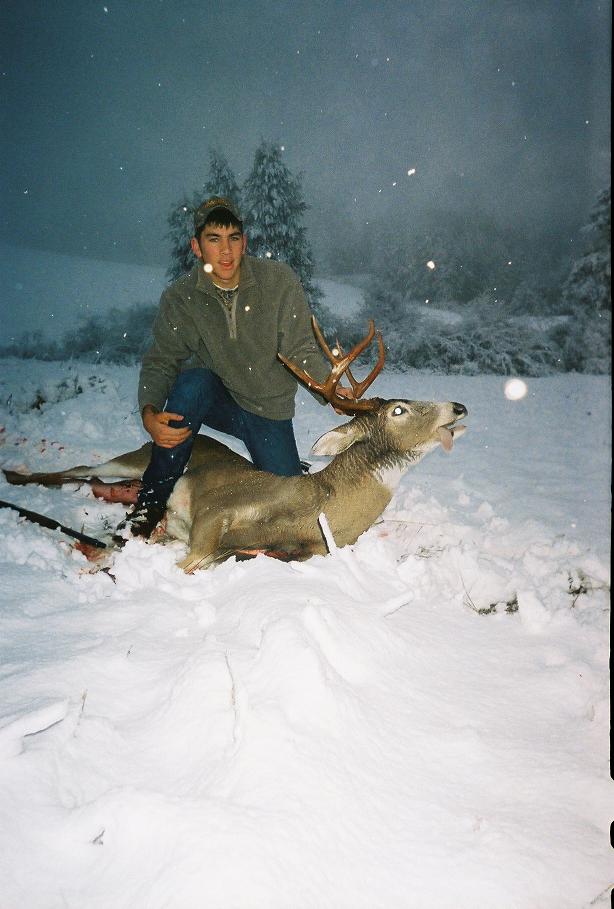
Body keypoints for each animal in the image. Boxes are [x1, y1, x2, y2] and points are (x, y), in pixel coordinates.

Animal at [3, 322, 466, 572]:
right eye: (399, 410)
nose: (459, 406)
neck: (318, 504)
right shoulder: (218, 510)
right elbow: (188, 562)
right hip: (137, 458)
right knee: (80, 469)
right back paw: (15, 476)